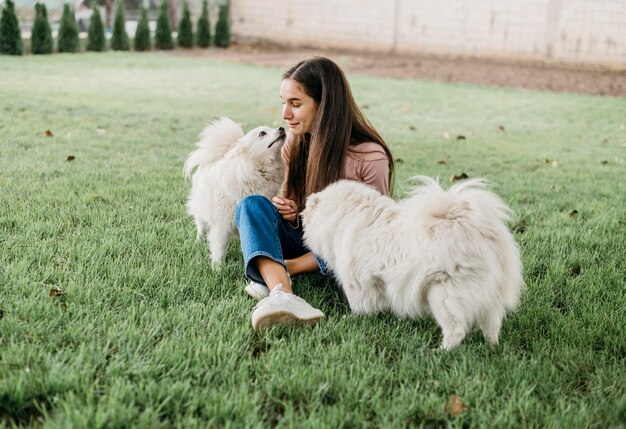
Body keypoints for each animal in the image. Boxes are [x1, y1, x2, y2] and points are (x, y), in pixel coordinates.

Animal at [183, 117, 286, 264]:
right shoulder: (222, 225)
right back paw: (199, 240)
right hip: (200, 209)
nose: (282, 128)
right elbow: (219, 250)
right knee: (200, 225)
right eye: (262, 133)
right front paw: (218, 267)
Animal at [302, 176, 520, 348]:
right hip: (490, 298)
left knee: (456, 330)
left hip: (443, 296)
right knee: (492, 326)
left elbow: (360, 306)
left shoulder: (357, 284)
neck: (346, 215)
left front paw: (356, 319)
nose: (304, 204)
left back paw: (441, 351)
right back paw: (491, 348)